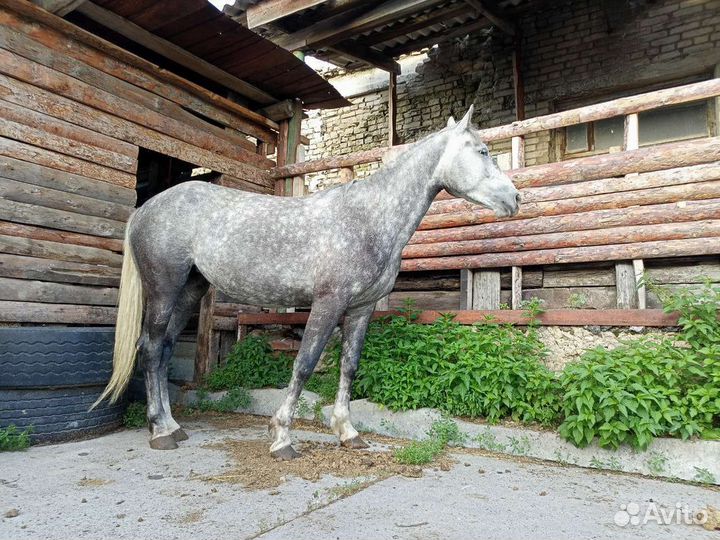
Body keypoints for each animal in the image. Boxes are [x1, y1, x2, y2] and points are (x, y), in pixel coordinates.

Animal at [92, 106, 520, 459]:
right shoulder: (328, 303)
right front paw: (281, 437)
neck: (368, 218)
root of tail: (145, 209)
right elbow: (305, 364)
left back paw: (173, 426)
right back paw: (160, 432)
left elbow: (349, 366)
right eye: (483, 151)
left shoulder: (360, 309)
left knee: (163, 349)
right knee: (150, 349)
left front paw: (348, 433)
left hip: (191, 289)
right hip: (164, 287)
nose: (515, 198)